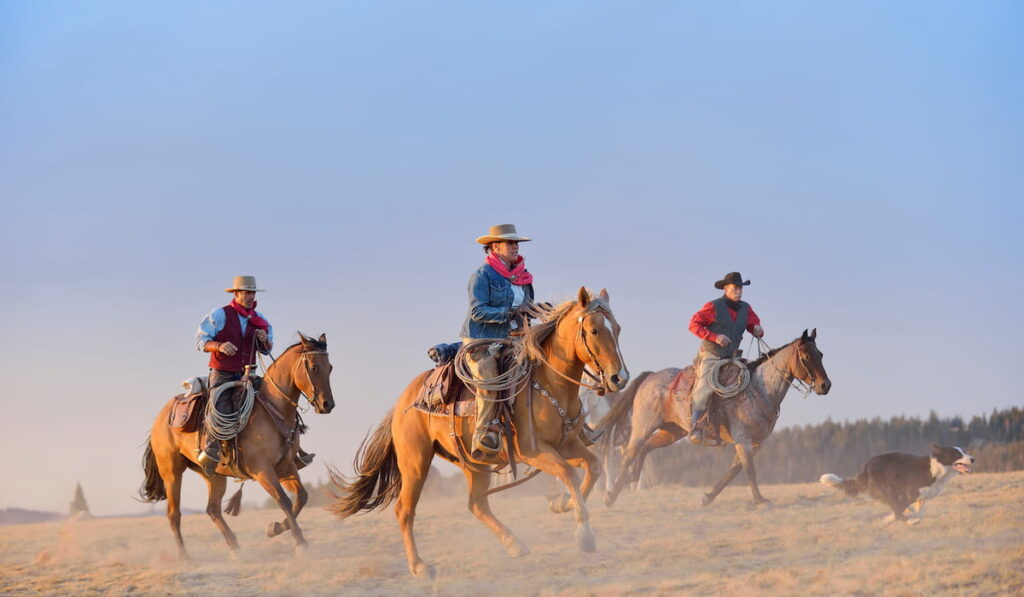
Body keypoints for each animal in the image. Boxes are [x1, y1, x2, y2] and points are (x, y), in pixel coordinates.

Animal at [136, 333, 333, 557]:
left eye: (330, 367)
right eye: (314, 367)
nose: (327, 404)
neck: (272, 409)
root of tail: (160, 418)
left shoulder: (286, 466)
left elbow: (301, 497)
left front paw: (275, 528)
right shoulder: (262, 470)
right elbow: (284, 500)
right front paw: (300, 543)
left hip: (212, 474)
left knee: (213, 509)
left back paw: (235, 548)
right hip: (172, 472)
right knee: (173, 514)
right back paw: (185, 557)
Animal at [331, 288, 626, 577]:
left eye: (618, 328)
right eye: (594, 330)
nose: (619, 378)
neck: (550, 383)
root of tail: (403, 401)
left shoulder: (567, 445)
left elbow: (593, 467)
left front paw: (563, 504)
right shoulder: (534, 451)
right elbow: (569, 473)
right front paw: (584, 535)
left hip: (474, 462)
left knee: (476, 504)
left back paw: (513, 543)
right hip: (415, 462)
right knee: (405, 510)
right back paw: (420, 567)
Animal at [598, 331, 831, 509]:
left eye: (820, 354)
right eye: (806, 356)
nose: (825, 385)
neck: (759, 389)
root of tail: (651, 376)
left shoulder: (756, 443)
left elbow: (734, 471)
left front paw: (708, 497)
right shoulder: (743, 439)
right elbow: (749, 470)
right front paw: (759, 500)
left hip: (672, 431)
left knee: (647, 447)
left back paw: (631, 478)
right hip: (643, 427)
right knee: (629, 453)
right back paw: (611, 496)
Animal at [815, 444, 974, 524]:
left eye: (964, 451)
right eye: (956, 454)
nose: (973, 459)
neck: (937, 468)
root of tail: (867, 465)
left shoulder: (922, 495)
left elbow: (920, 512)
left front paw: (908, 515)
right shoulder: (911, 493)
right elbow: (900, 511)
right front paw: (900, 520)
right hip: (887, 488)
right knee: (895, 505)